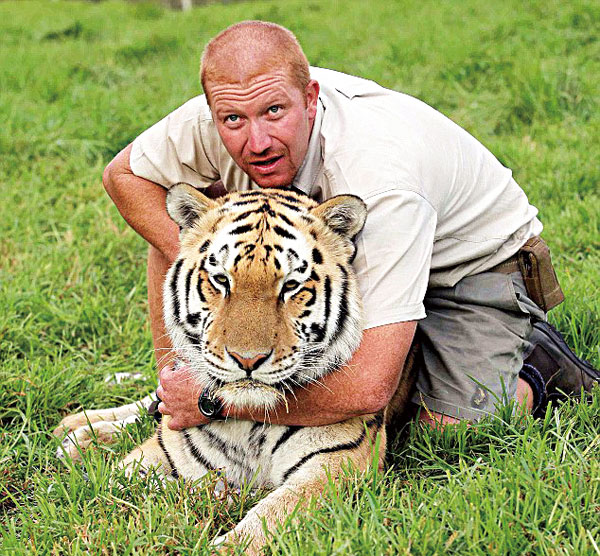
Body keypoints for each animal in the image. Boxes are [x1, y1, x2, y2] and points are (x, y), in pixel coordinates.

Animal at [56, 185, 418, 552]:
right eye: (221, 281)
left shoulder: (335, 466)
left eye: (290, 286)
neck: (249, 425)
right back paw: (80, 432)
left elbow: (271, 517)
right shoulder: (162, 454)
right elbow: (103, 493)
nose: (247, 360)